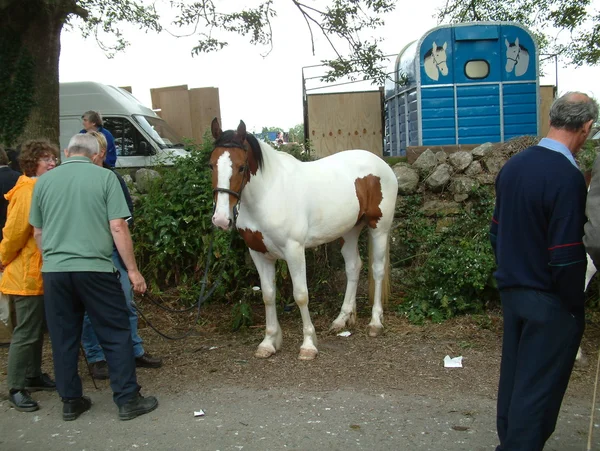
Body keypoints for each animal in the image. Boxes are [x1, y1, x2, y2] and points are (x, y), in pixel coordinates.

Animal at [210, 119, 398, 360]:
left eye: (241, 167)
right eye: (211, 165)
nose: (221, 219)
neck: (269, 193)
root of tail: (382, 165)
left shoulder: (294, 250)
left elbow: (301, 295)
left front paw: (308, 345)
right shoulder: (259, 253)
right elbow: (268, 295)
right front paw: (268, 342)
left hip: (379, 228)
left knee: (377, 270)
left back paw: (375, 323)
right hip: (349, 231)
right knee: (354, 267)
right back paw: (341, 319)